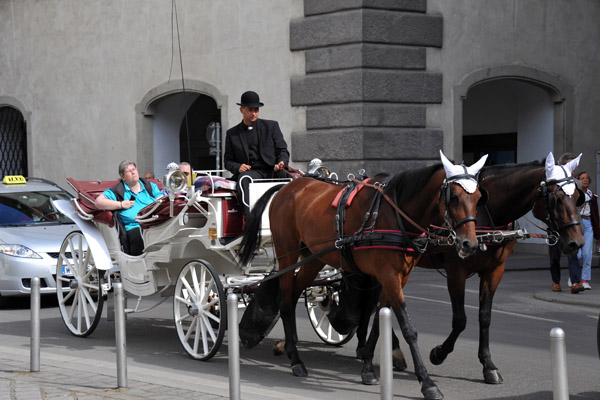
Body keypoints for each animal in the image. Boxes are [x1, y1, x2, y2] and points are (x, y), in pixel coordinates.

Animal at [239, 155, 488, 400]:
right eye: (453, 197)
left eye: (478, 197)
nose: (470, 244)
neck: (395, 214)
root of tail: (287, 186)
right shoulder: (388, 275)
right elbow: (408, 328)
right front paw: (427, 382)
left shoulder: (397, 277)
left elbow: (378, 322)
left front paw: (368, 367)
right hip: (287, 254)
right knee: (285, 302)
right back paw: (295, 360)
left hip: (312, 258)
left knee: (292, 298)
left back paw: (289, 349)